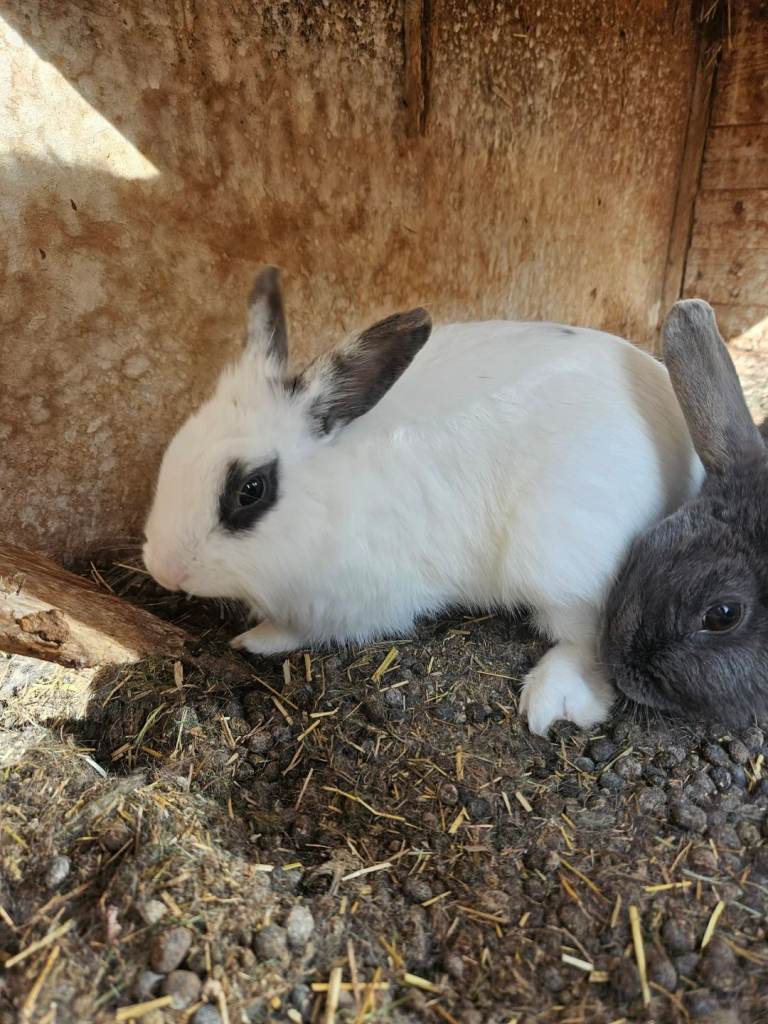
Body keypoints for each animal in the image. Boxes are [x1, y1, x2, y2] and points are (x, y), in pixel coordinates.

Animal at [143, 267, 703, 735]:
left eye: (251, 489)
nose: (165, 572)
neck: (331, 495)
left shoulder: (355, 600)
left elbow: (303, 629)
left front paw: (255, 639)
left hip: (556, 558)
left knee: (588, 639)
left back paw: (552, 699)